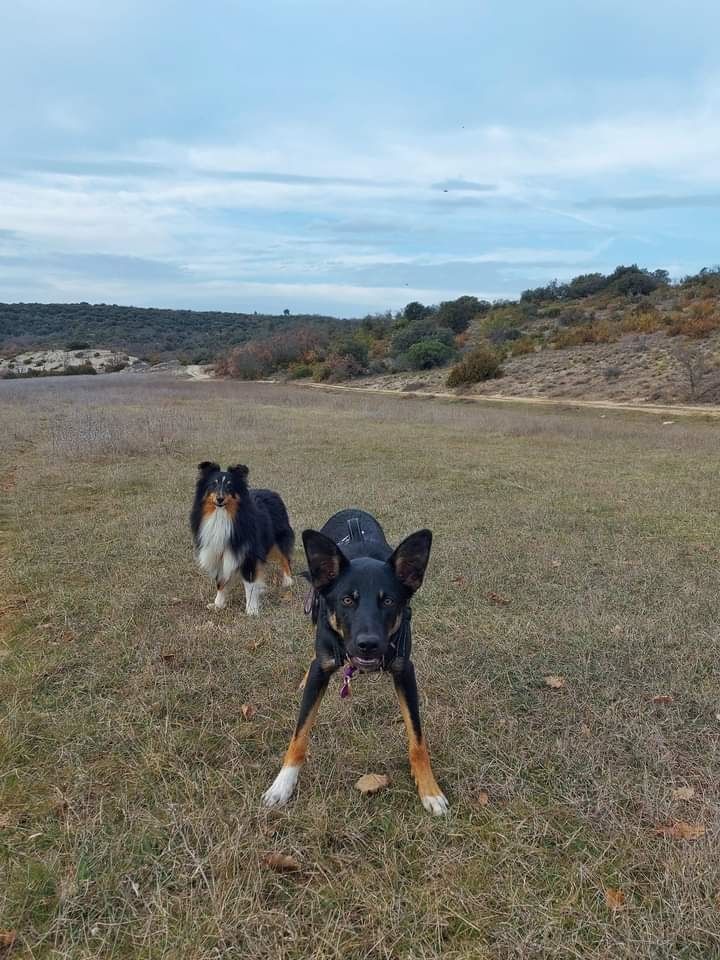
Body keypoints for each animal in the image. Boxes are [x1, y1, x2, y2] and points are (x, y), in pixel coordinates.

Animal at [262, 506, 448, 812]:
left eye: (389, 601)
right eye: (347, 600)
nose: (368, 645)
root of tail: (352, 511)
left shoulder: (404, 671)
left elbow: (417, 739)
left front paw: (429, 789)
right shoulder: (322, 669)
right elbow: (300, 734)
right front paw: (282, 784)